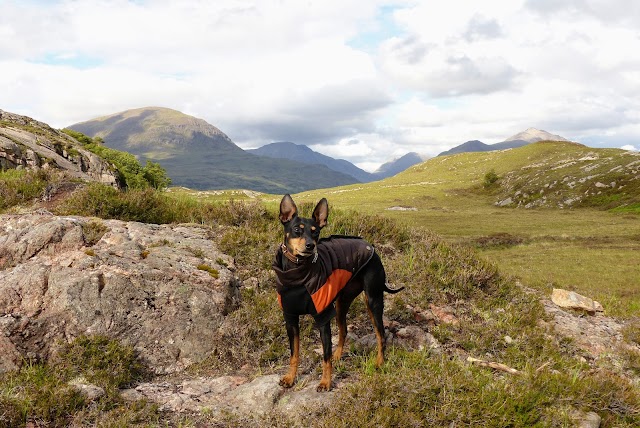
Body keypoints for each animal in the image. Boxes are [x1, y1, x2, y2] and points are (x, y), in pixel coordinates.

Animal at [272, 194, 402, 392]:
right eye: (296, 230)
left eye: (315, 232)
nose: (310, 246)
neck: (297, 275)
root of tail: (370, 246)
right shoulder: (290, 318)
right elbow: (294, 354)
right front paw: (290, 378)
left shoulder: (323, 318)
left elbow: (325, 357)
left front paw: (325, 382)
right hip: (342, 303)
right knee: (344, 330)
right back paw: (339, 355)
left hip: (373, 301)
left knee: (381, 334)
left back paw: (379, 362)